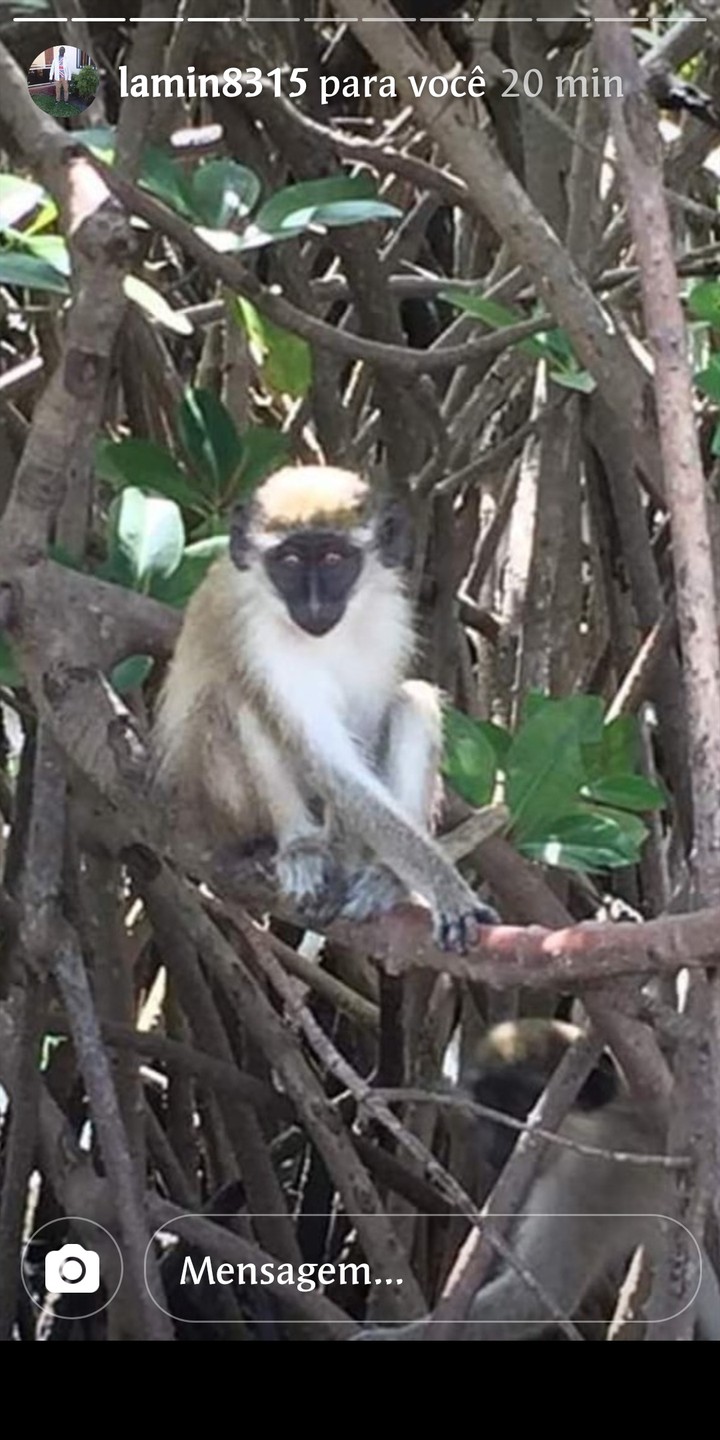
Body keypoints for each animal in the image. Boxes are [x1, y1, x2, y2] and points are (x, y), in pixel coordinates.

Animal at [153, 465, 497, 952]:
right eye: (290, 562)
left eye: (335, 559)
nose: (314, 605)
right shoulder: (257, 633)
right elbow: (332, 764)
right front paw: (447, 888)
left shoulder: (390, 619)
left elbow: (366, 736)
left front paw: (399, 877)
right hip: (218, 807)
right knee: (237, 697)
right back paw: (299, 848)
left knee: (413, 700)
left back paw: (380, 876)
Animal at [353, 1019, 720, 1341]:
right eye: (490, 1103)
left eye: (521, 1104)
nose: (495, 1141)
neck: (598, 1122)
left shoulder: (586, 1181)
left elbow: (539, 1296)